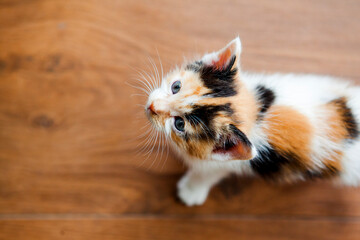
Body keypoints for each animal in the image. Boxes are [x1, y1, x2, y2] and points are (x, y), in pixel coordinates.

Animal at [143, 37, 360, 206]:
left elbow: (208, 173)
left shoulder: (224, 163)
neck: (256, 113)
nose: (152, 106)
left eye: (179, 124)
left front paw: (190, 192)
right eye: (176, 86)